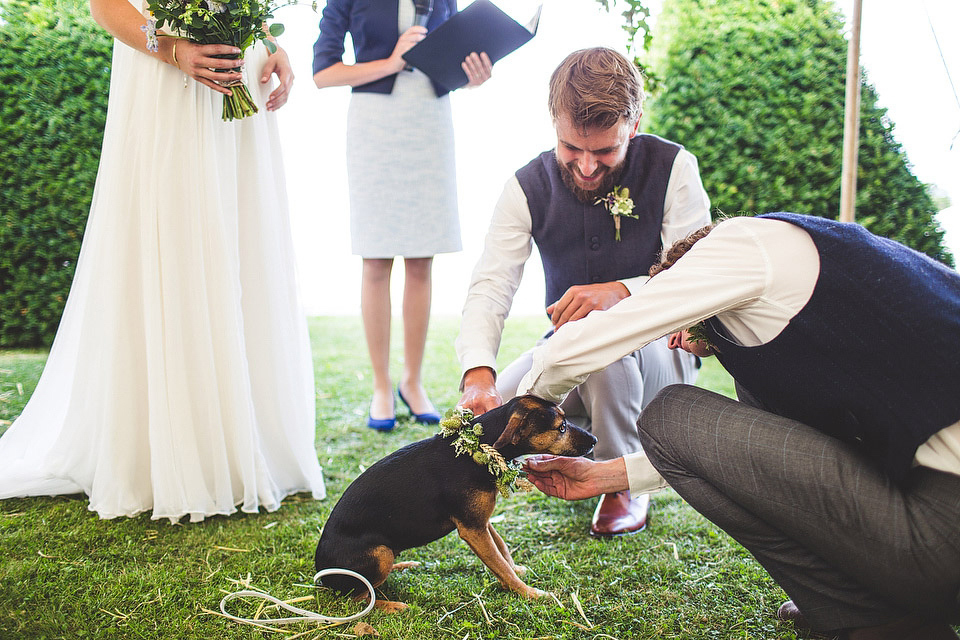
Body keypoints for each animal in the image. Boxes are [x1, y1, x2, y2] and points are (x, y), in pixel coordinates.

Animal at [316, 392, 596, 608]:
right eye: (561, 427)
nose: (594, 440)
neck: (478, 449)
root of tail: (320, 575)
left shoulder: (482, 522)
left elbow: (502, 549)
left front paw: (517, 571)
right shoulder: (472, 529)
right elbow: (499, 565)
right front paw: (530, 593)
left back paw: (402, 564)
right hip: (379, 554)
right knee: (357, 598)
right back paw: (393, 605)